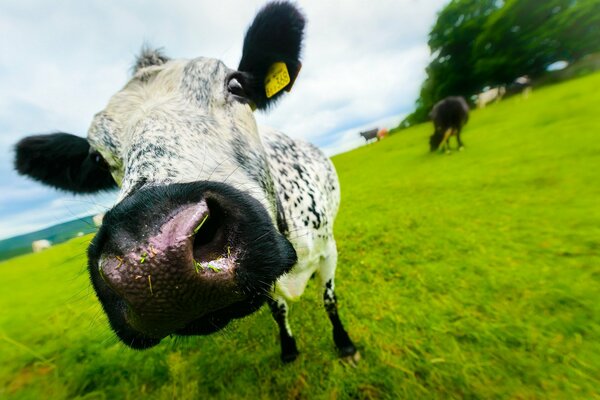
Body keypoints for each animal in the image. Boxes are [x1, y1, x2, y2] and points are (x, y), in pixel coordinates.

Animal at [14, 1, 358, 364]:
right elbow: (279, 310)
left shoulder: (329, 251)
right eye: (96, 156)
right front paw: (289, 348)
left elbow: (329, 300)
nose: (151, 258)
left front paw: (345, 344)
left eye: (235, 86)